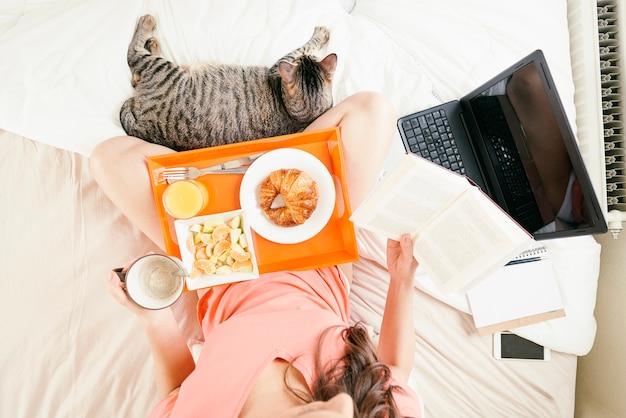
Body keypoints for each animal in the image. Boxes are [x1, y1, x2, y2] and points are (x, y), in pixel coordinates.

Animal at [118, 15, 336, 152]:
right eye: (314, 60)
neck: (294, 116)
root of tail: (141, 125)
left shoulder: (281, 65)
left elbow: (304, 47)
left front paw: (320, 36)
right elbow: (303, 48)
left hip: (160, 68)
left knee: (133, 53)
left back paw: (147, 26)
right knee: (135, 66)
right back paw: (152, 42)